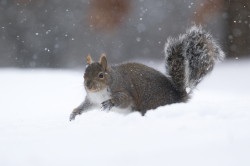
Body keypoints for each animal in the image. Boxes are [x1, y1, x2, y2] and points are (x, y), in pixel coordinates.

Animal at [70, 25, 225, 120]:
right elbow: (86, 106)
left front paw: (110, 102)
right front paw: (75, 113)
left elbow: (124, 100)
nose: (88, 86)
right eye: (84, 74)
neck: (100, 92)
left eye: (101, 75)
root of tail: (177, 98)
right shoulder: (92, 100)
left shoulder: (122, 89)